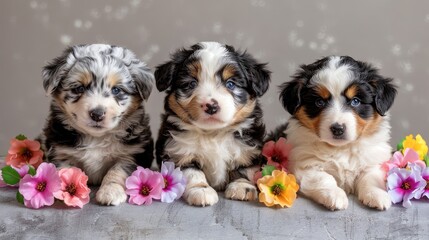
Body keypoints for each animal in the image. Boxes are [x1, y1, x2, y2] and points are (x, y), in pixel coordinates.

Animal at [39, 44, 155, 205]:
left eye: (116, 90)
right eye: (79, 88)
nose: (97, 114)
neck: (96, 137)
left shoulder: (132, 154)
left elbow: (117, 171)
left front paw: (110, 191)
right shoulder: (60, 152)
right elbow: (66, 172)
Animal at [154, 41, 270, 206]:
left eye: (230, 84)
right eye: (191, 84)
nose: (211, 106)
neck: (212, 133)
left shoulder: (247, 148)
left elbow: (244, 168)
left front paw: (242, 186)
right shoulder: (178, 151)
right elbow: (192, 172)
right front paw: (201, 190)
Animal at [276, 56, 396, 210]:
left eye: (355, 101)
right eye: (319, 102)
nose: (338, 129)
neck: (341, 148)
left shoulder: (372, 160)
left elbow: (371, 177)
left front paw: (377, 195)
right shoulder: (304, 163)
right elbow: (324, 178)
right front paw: (335, 195)